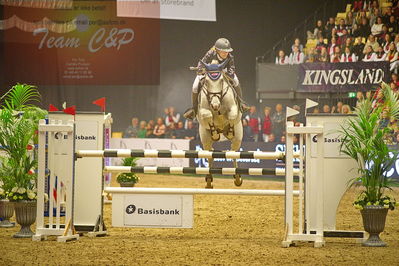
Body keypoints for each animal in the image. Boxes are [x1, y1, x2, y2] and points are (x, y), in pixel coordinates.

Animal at [191, 59, 244, 188]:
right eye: (207, 81)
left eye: (221, 81)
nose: (215, 105)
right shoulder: (203, 111)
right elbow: (208, 115)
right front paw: (215, 133)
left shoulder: (233, 108)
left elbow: (232, 115)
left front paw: (229, 131)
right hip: (205, 139)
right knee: (210, 155)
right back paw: (209, 180)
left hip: (238, 138)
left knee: (233, 153)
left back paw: (237, 178)